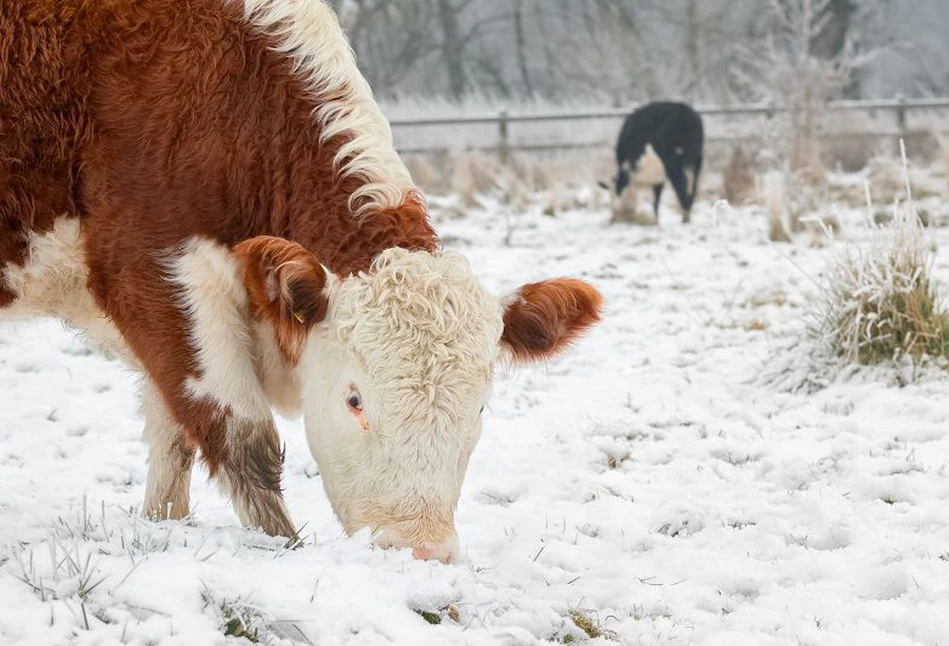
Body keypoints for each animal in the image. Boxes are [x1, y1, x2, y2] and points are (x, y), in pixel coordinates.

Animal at [1, 0, 600, 564]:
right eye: (354, 399)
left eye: (478, 407)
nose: (419, 550)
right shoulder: (154, 273)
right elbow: (242, 438)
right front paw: (284, 549)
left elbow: (173, 437)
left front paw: (161, 528)